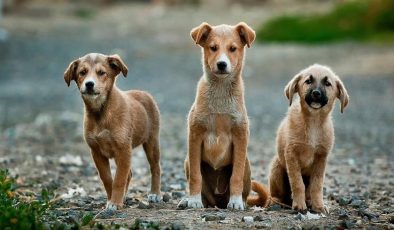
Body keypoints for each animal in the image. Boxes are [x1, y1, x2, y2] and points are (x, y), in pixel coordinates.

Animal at [64, 52, 162, 210]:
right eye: (82, 72)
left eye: (101, 73)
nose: (89, 84)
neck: (100, 113)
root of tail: (144, 93)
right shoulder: (97, 152)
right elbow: (108, 179)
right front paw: (112, 200)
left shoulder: (123, 150)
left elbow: (119, 179)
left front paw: (115, 202)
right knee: (130, 174)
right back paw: (125, 196)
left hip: (152, 141)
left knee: (155, 167)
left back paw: (155, 193)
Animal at [177, 22, 260, 210]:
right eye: (213, 48)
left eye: (233, 48)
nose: (222, 64)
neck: (220, 93)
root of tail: (217, 202)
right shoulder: (195, 135)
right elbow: (196, 176)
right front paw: (193, 200)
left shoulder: (240, 136)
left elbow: (235, 176)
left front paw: (235, 201)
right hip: (187, 161)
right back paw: (189, 200)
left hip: (247, 163)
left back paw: (240, 201)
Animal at [268, 63, 348, 214]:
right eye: (308, 81)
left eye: (327, 83)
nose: (316, 93)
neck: (314, 122)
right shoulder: (291, 154)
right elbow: (297, 183)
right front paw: (299, 205)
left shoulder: (321, 158)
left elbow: (317, 185)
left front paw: (318, 206)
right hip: (277, 167)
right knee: (277, 195)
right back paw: (278, 202)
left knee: (308, 191)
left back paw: (309, 201)